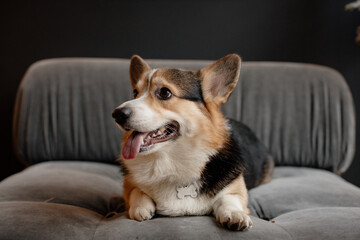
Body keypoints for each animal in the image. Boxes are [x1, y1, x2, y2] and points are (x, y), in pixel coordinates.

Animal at [112, 54, 272, 231]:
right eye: (135, 92)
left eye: (164, 92)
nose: (117, 114)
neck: (172, 159)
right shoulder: (130, 183)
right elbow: (136, 192)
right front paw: (141, 207)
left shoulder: (235, 189)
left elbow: (229, 199)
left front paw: (235, 215)